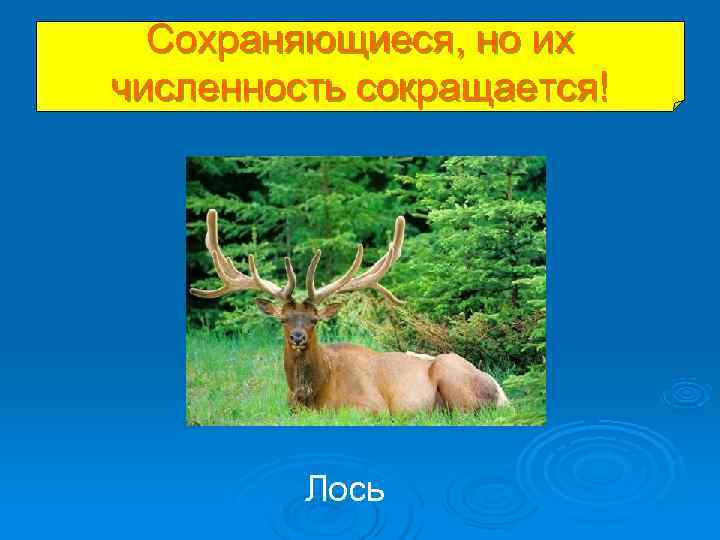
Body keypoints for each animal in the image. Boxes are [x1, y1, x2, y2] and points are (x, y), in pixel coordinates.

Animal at [190, 209, 509, 414]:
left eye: (314, 320)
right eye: (283, 319)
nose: (297, 337)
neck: (313, 395)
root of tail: (503, 393)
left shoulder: (372, 406)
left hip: (451, 376)